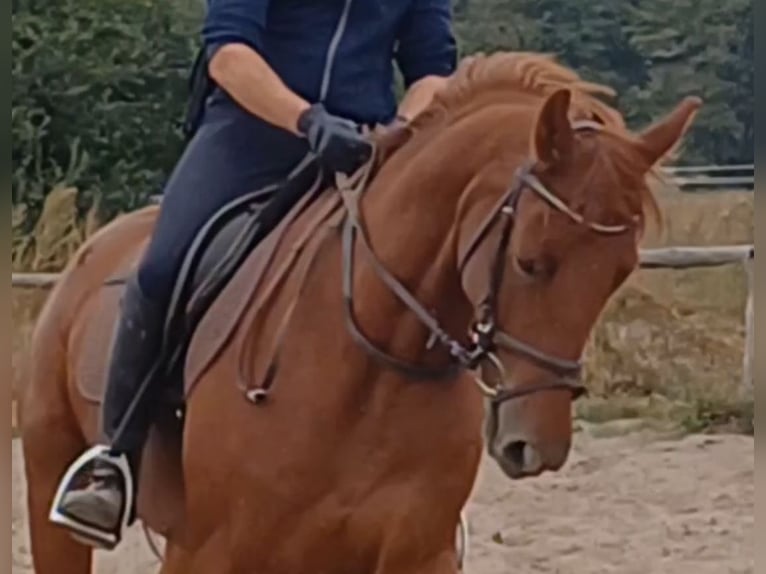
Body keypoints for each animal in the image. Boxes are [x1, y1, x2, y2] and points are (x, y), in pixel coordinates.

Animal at [19, 51, 700, 574]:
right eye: (532, 261)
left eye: (619, 273)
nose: (536, 445)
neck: (372, 363)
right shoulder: (211, 553)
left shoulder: (414, 555)